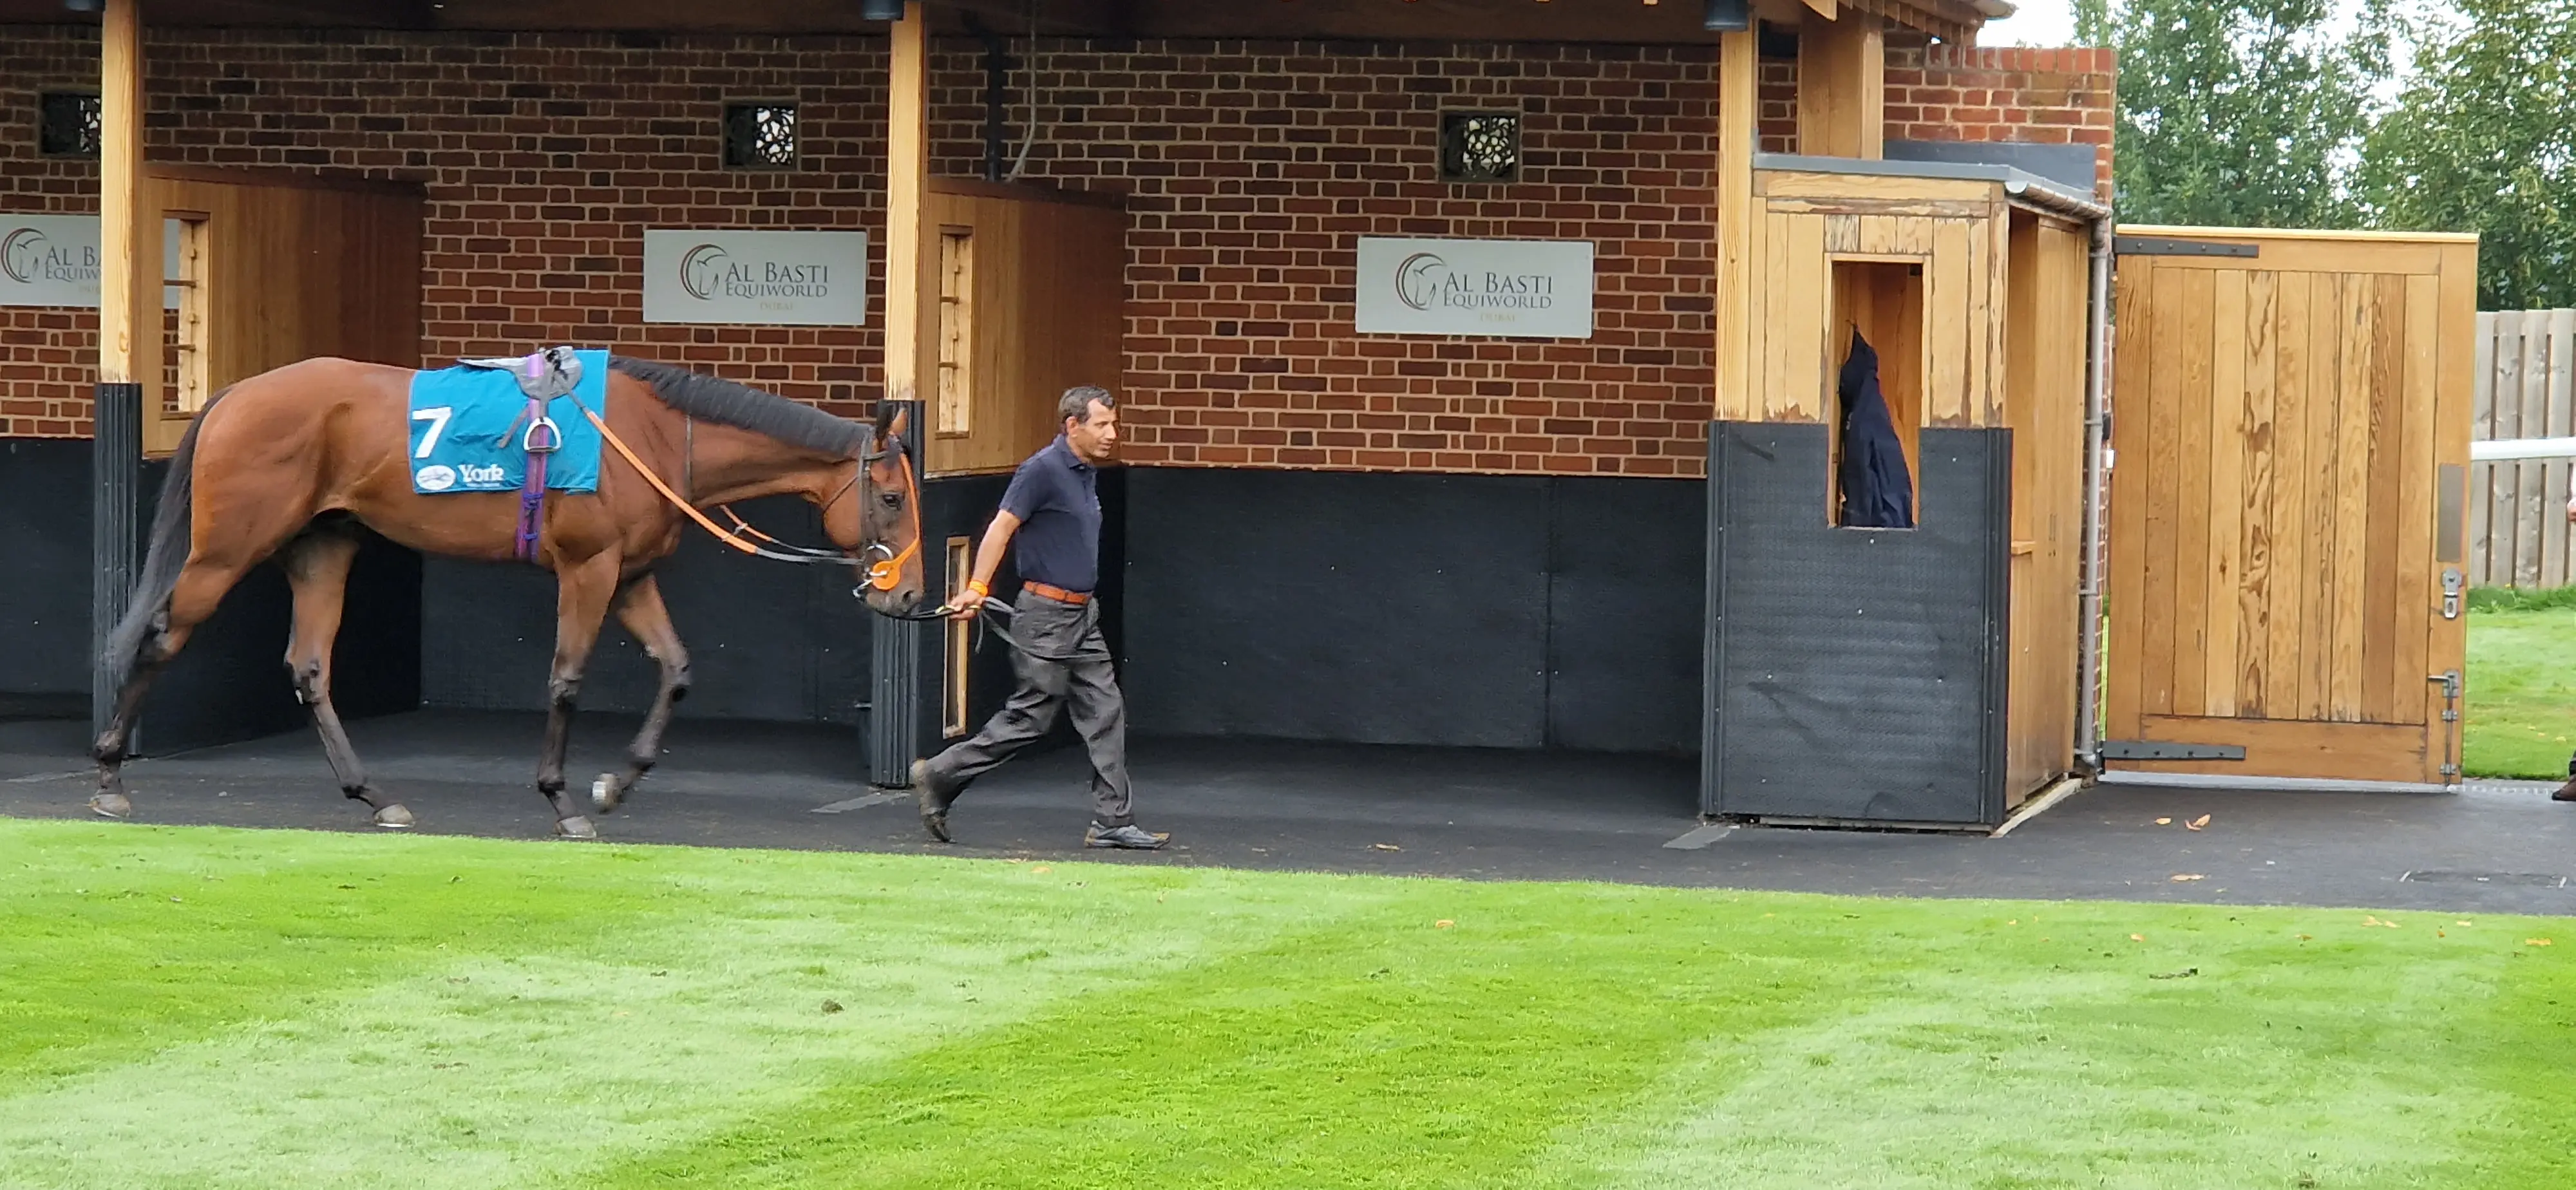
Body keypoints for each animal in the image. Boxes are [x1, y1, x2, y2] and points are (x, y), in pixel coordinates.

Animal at [95, 353, 933, 835]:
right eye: (892, 497)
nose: (909, 598)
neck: (657, 438)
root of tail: (236, 392)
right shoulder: (588, 569)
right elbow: (566, 680)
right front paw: (562, 800)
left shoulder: (630, 574)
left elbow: (676, 670)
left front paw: (615, 784)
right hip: (227, 548)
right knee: (162, 637)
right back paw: (108, 777)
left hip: (322, 546)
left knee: (309, 667)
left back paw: (374, 795)